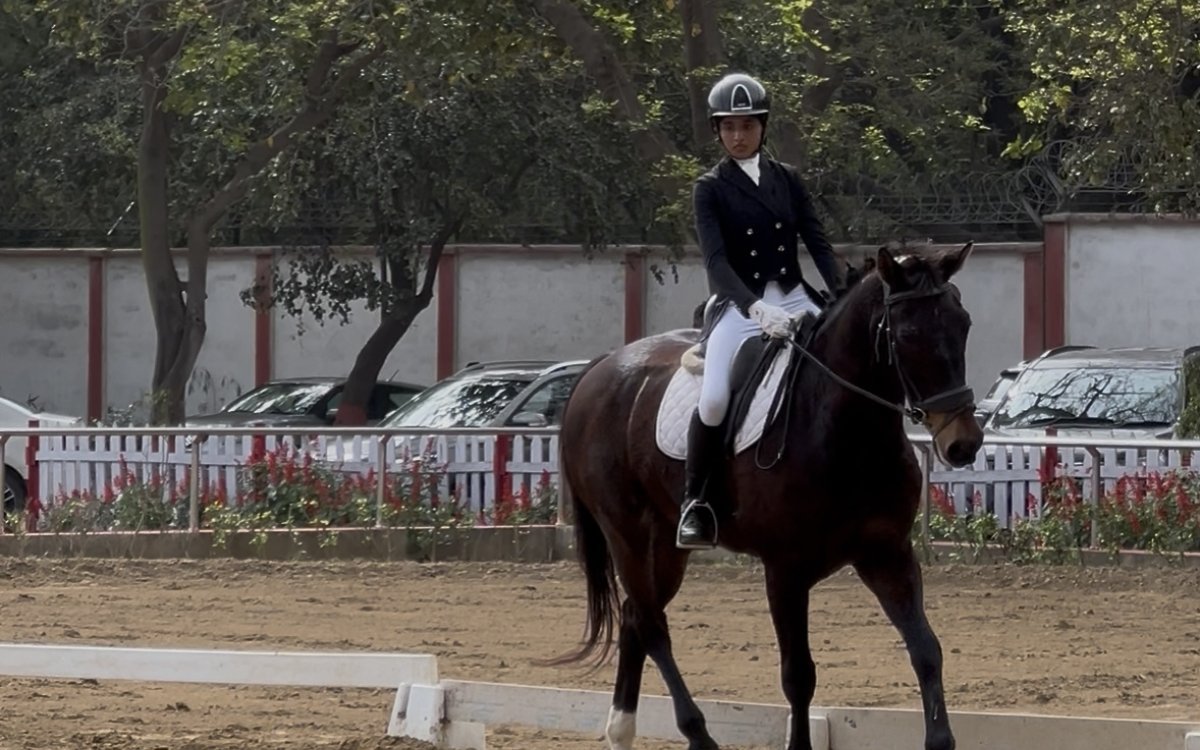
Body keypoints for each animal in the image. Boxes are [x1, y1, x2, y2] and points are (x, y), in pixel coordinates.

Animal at [551, 241, 984, 750]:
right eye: (909, 333)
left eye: (964, 323)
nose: (963, 443)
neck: (846, 431)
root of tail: (600, 367)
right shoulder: (785, 570)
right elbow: (798, 675)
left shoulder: (888, 554)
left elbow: (926, 649)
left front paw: (940, 738)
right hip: (627, 533)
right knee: (653, 626)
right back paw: (697, 733)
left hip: (666, 544)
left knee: (636, 615)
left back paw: (621, 729)